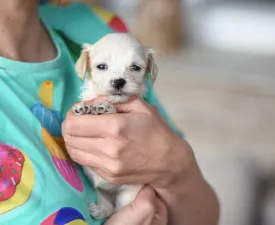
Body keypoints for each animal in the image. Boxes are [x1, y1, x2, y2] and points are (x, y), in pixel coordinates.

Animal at [72, 33, 158, 220]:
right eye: (101, 67)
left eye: (135, 67)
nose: (119, 82)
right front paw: (84, 107)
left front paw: (106, 108)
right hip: (100, 192)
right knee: (108, 206)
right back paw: (98, 210)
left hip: (128, 194)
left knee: (116, 209)